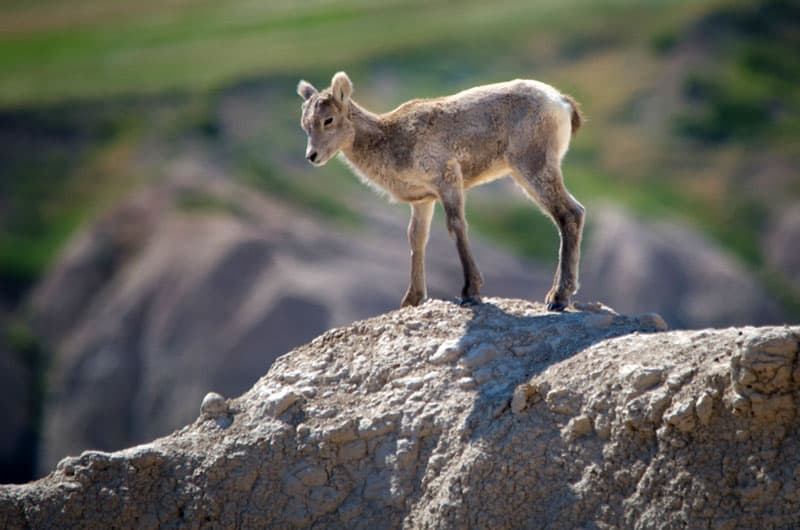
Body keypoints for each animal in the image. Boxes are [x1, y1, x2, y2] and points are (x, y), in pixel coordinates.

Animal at [296, 70, 584, 310]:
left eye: (328, 120)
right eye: (305, 124)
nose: (312, 156)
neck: (391, 139)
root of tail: (561, 102)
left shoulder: (448, 181)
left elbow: (456, 226)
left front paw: (470, 291)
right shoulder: (423, 201)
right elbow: (416, 239)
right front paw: (411, 300)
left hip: (533, 167)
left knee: (568, 214)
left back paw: (559, 297)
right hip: (525, 173)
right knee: (571, 214)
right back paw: (556, 294)